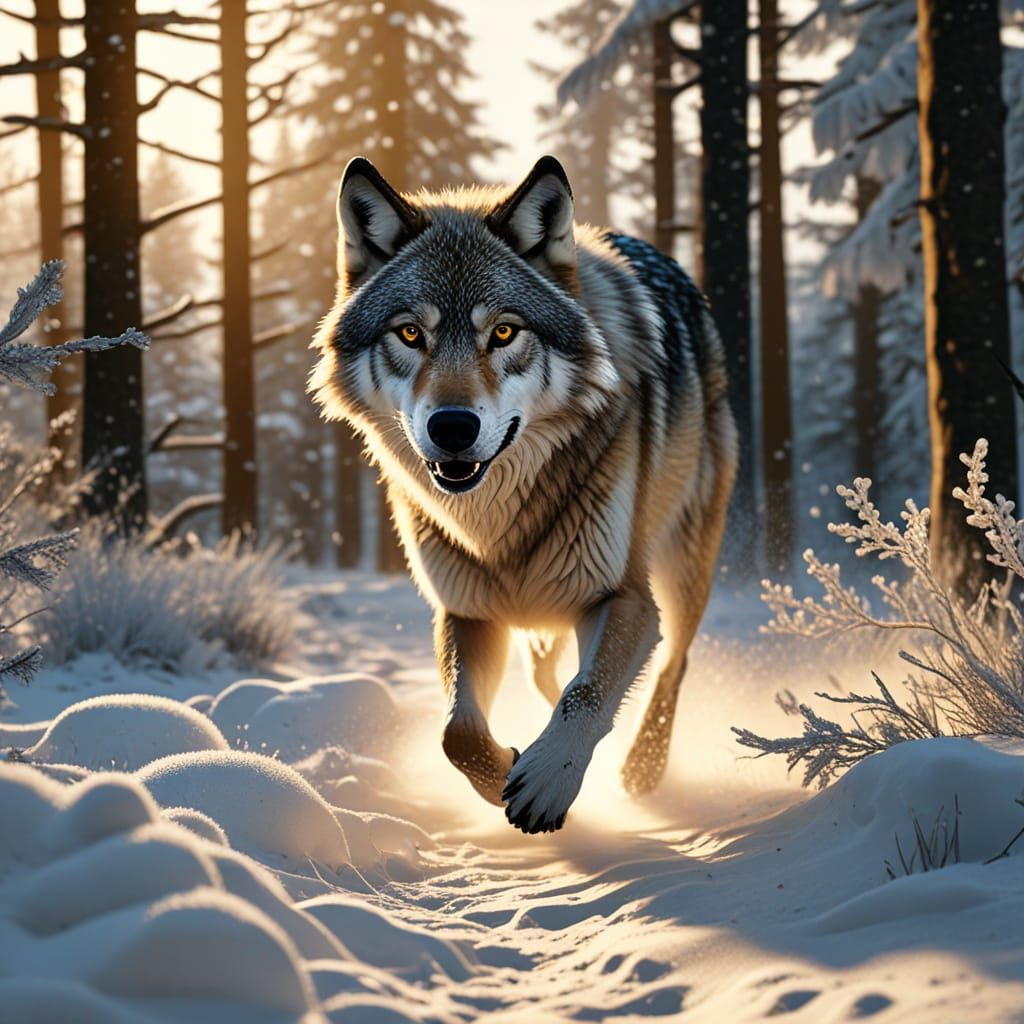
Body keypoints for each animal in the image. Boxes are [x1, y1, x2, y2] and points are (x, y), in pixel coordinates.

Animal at [310, 155, 737, 834]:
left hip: (682, 564)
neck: (494, 521)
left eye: (505, 332)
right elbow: (456, 732)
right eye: (411, 334)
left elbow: (586, 693)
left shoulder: (625, 596)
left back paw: (642, 766)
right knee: (546, 670)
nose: (452, 427)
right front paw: (504, 770)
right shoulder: (467, 611)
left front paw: (546, 781)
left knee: (673, 662)